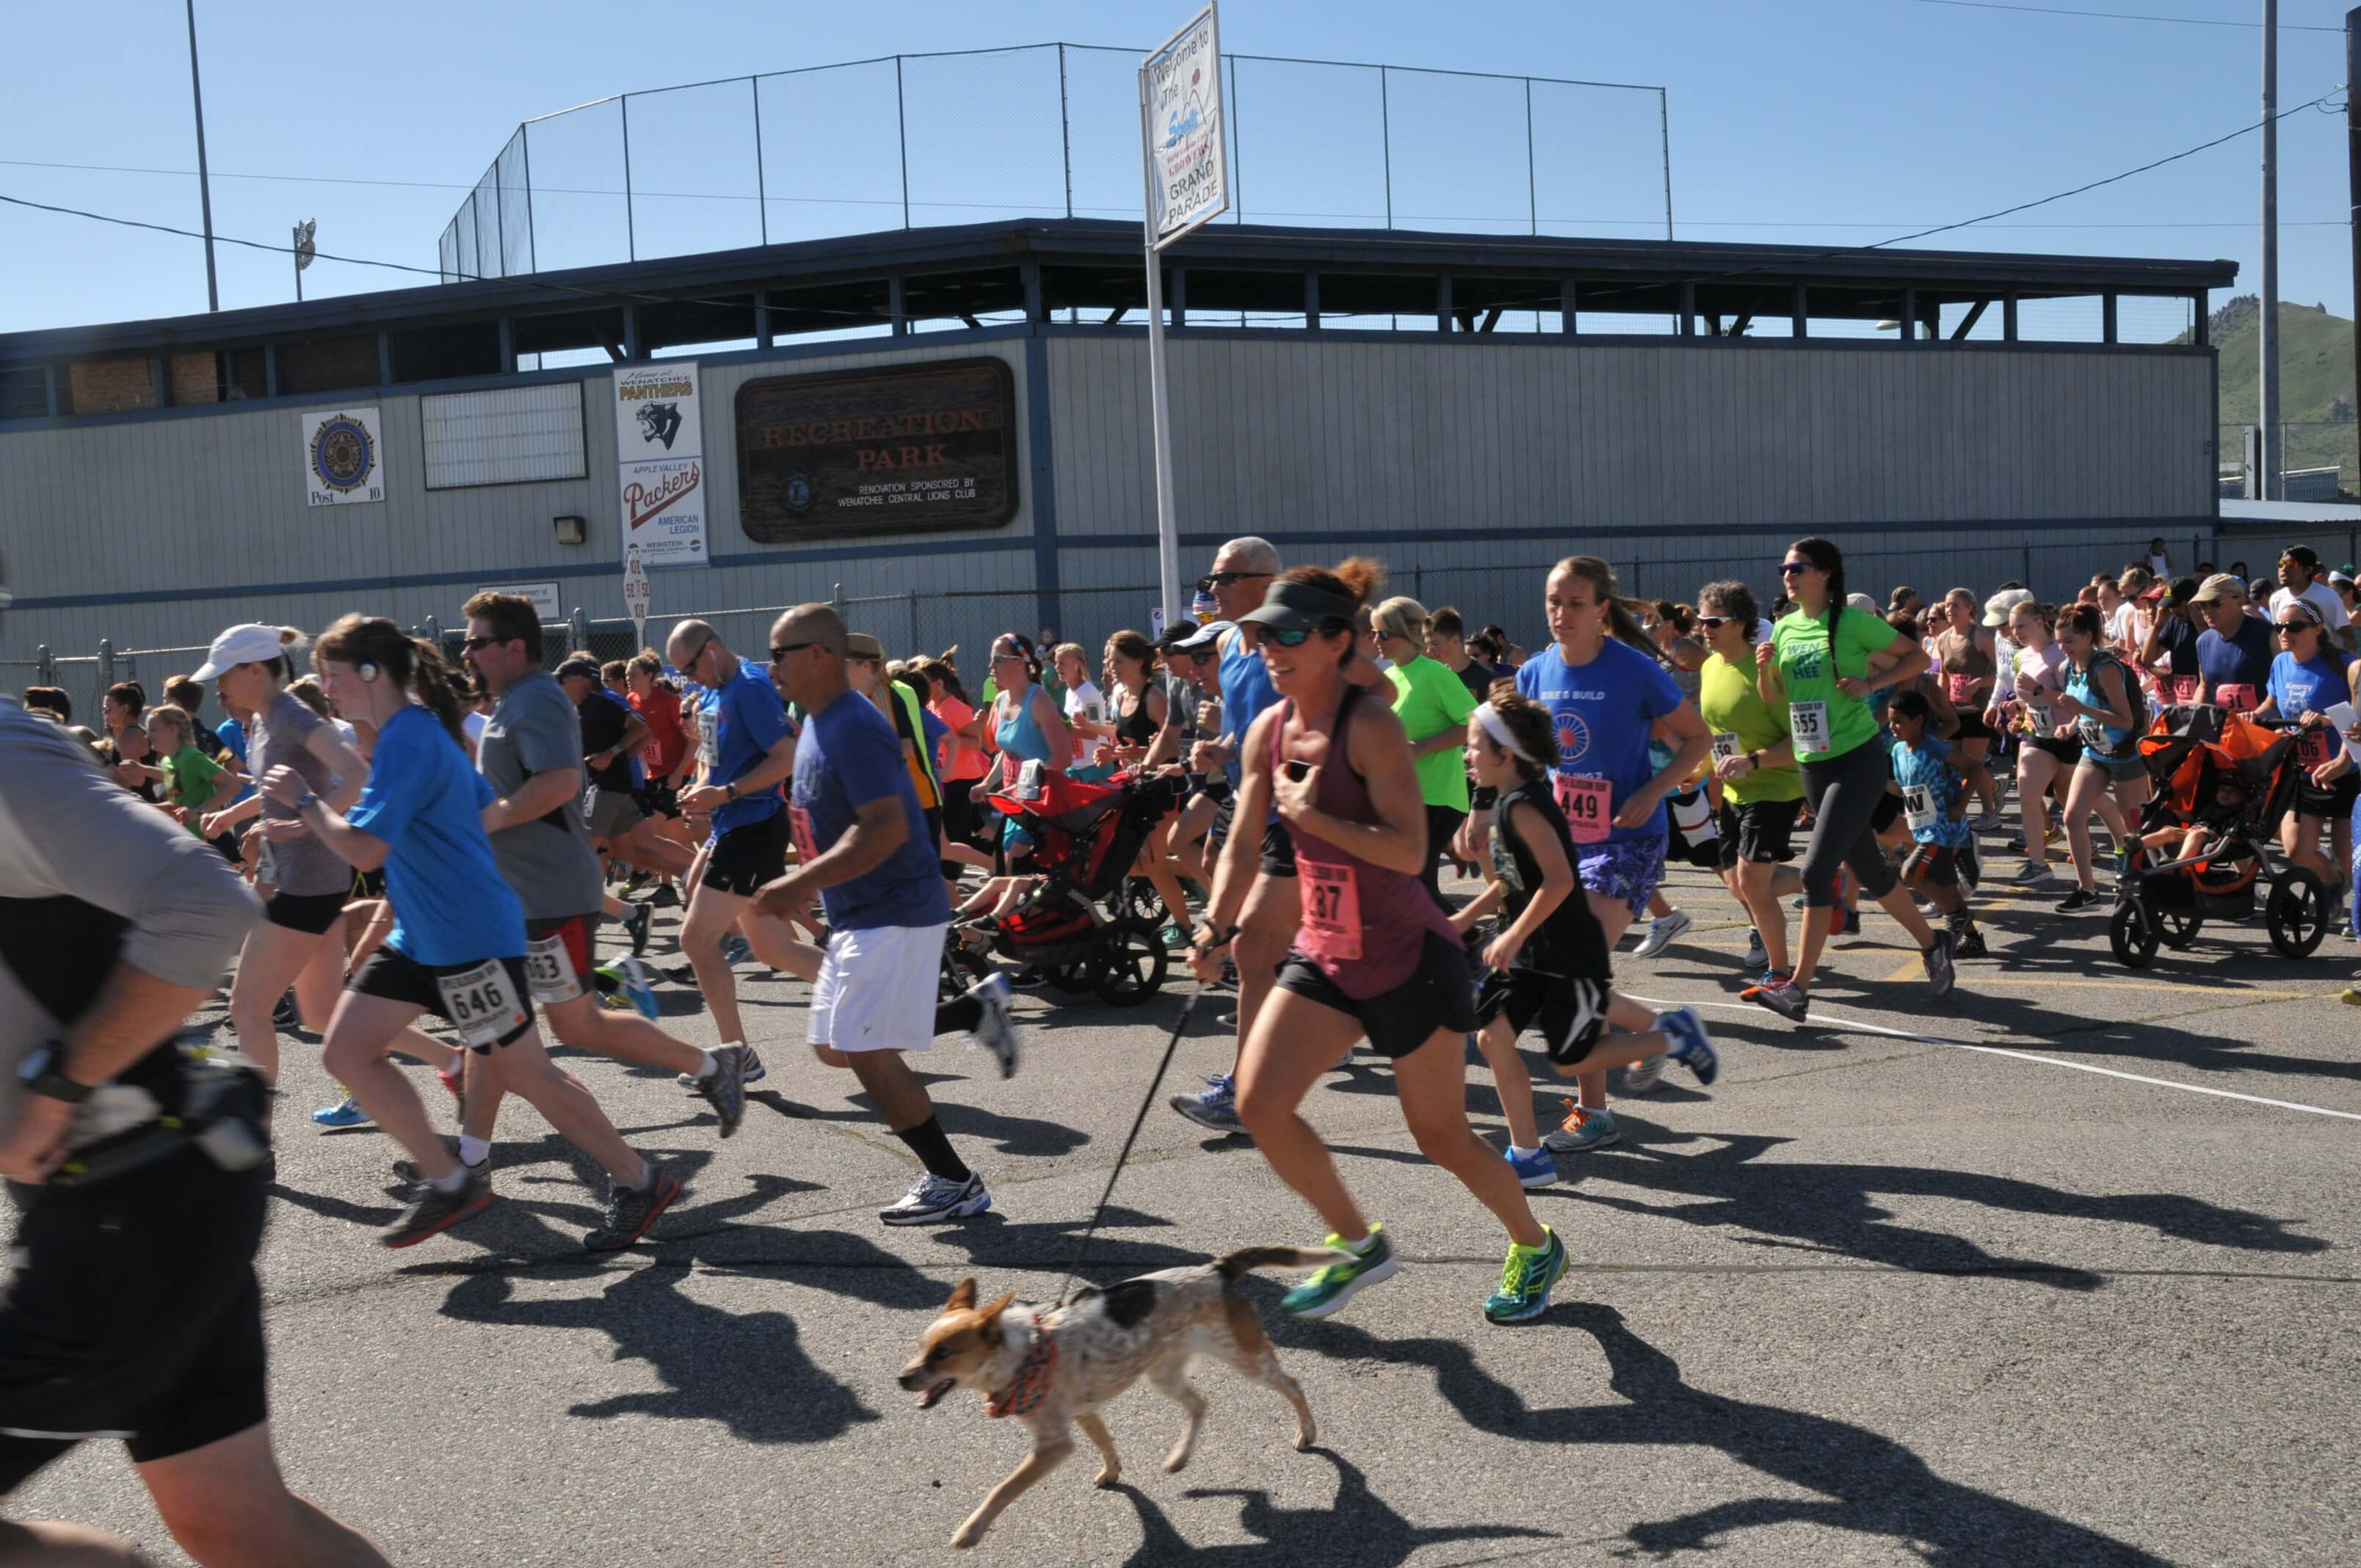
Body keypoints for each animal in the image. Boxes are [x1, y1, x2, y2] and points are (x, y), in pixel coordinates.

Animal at [897, 1246, 1350, 1539]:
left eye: (942, 1354)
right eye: (921, 1347)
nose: (901, 1379)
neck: (1024, 1351)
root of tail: (1216, 1270)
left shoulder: (1053, 1446)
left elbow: (1001, 1490)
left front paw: (970, 1531)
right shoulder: (1083, 1413)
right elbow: (1106, 1445)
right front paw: (1114, 1472)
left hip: (1246, 1359)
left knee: (1292, 1385)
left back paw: (1307, 1433)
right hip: (1163, 1375)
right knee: (1200, 1404)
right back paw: (1179, 1458)